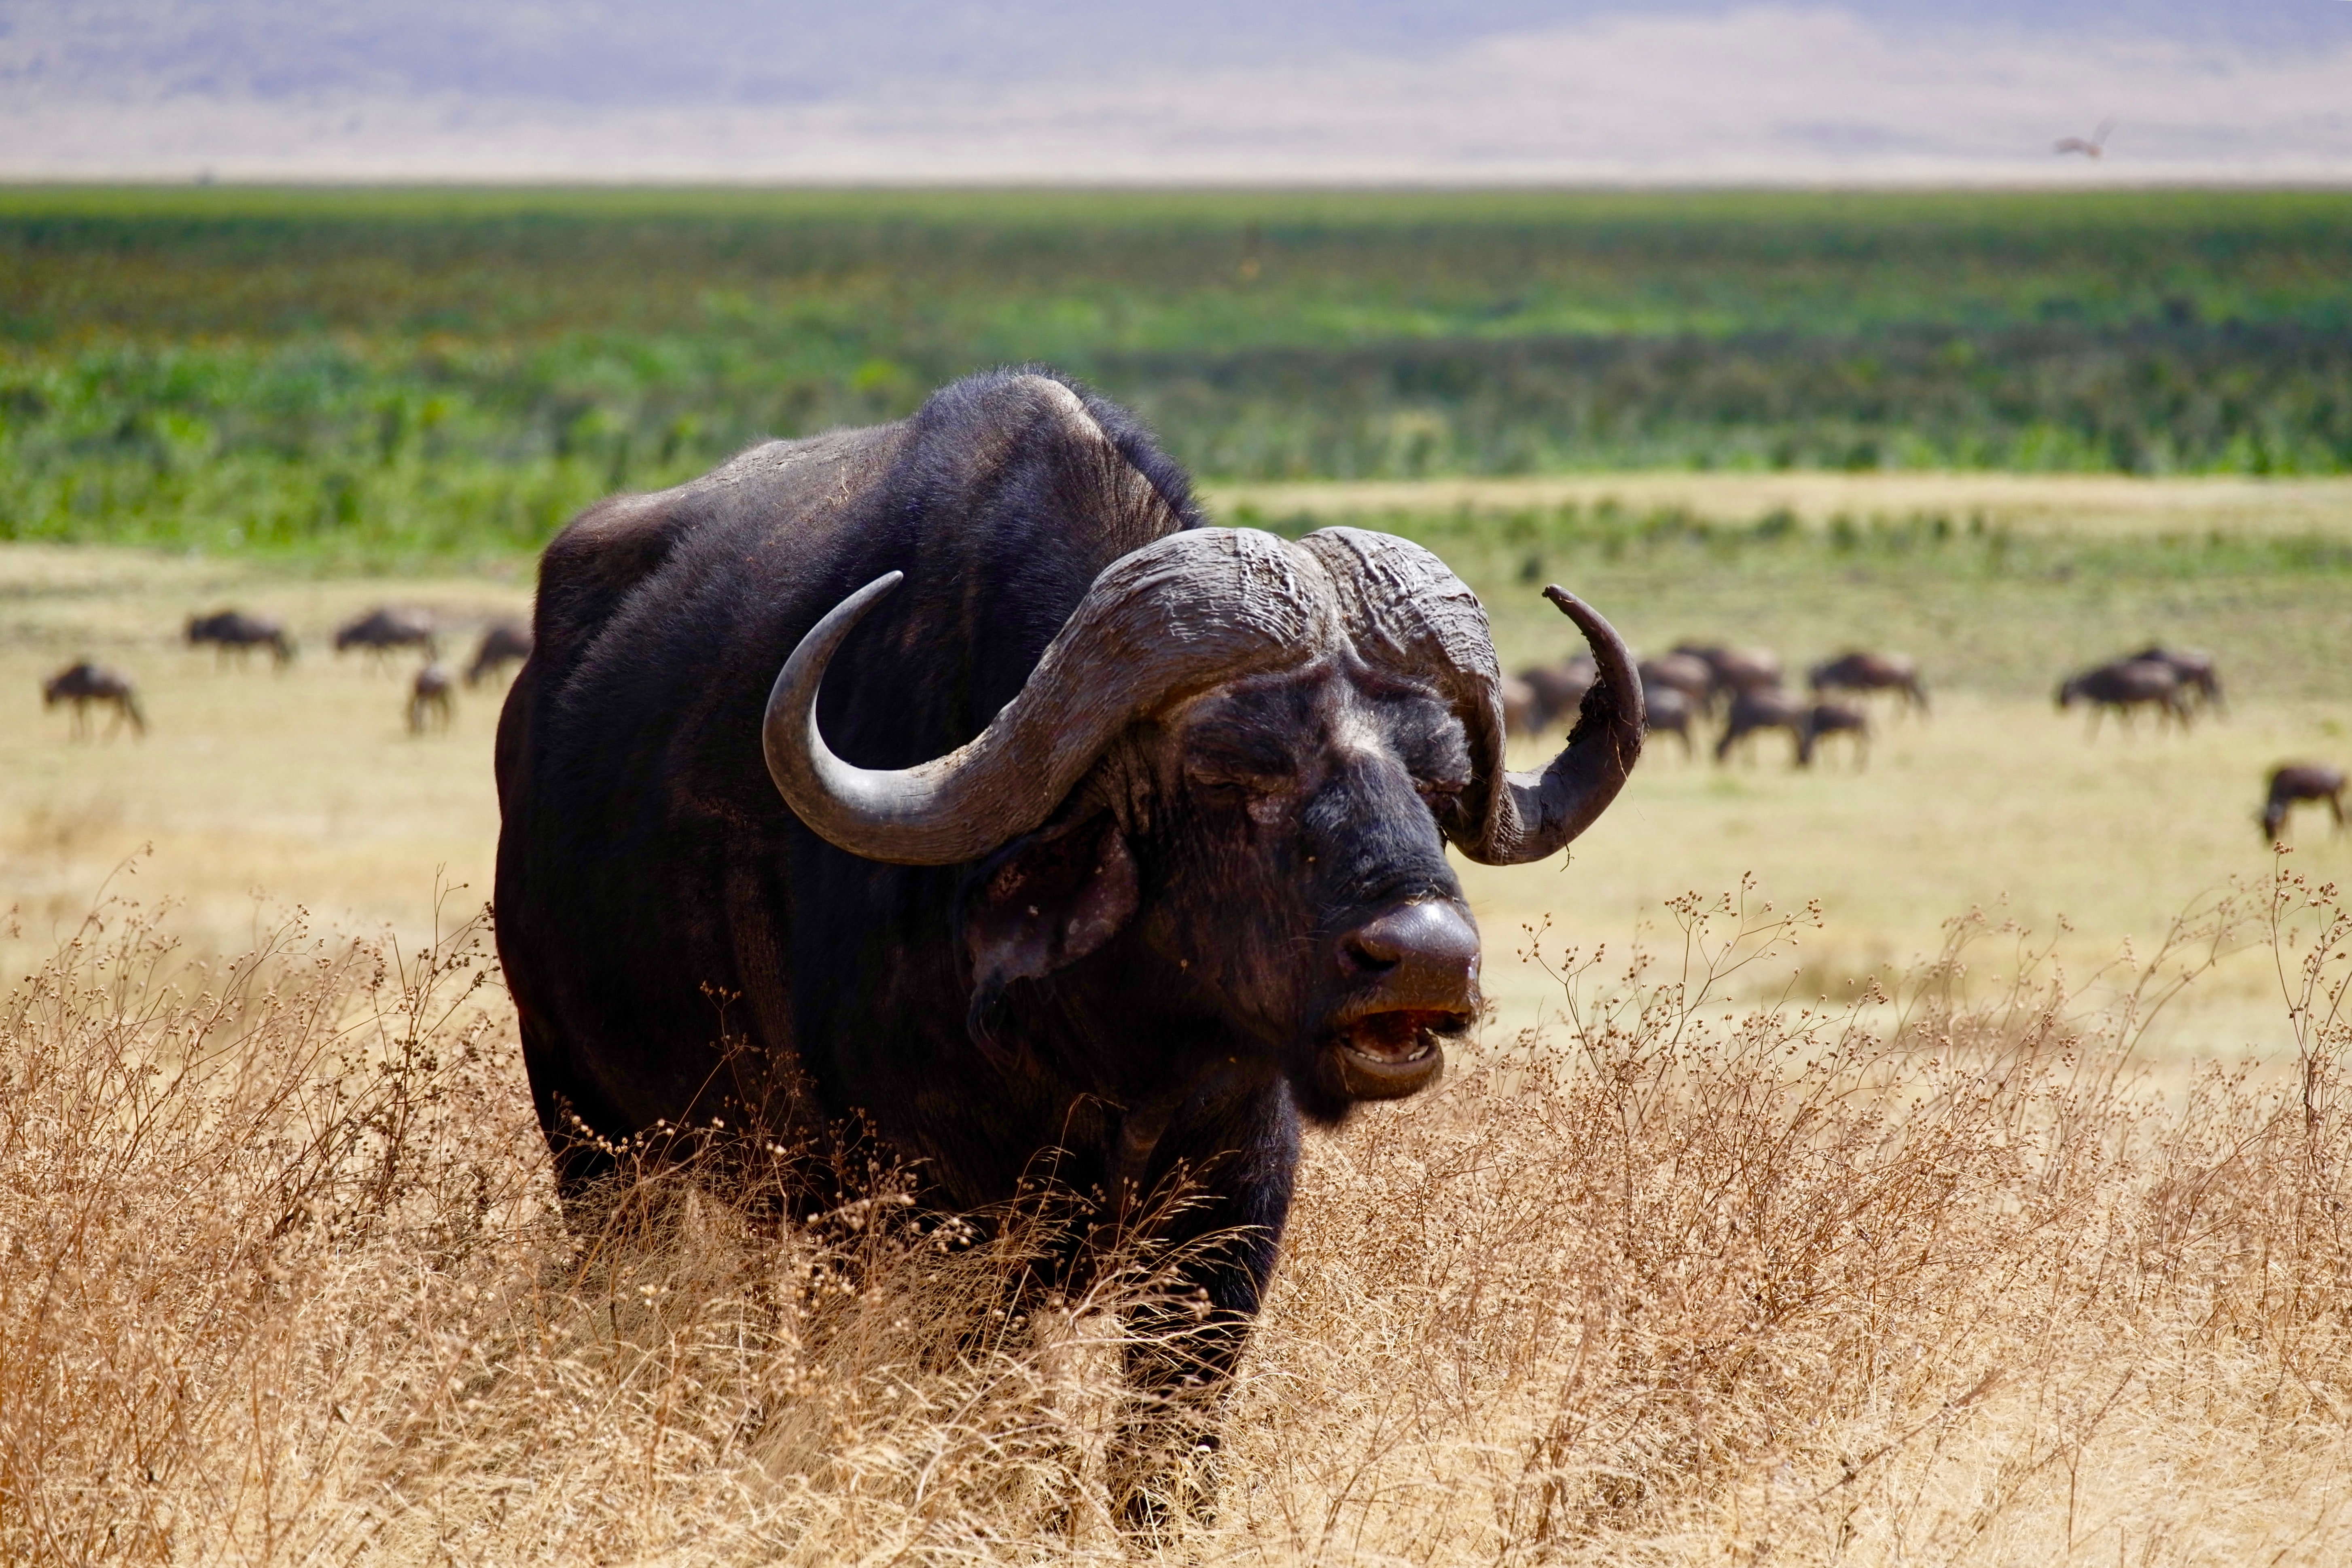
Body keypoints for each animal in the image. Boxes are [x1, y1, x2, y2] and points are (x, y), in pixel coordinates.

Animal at [42, 660, 145, 738]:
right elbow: (79, 715)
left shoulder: (82, 699)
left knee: (125, 714)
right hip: (119, 700)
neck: (72, 678)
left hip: (120, 700)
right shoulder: (81, 700)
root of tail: (130, 683)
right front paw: (80, 735)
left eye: (49, 691)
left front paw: (82, 735)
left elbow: (81, 715)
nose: (47, 705)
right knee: (128, 714)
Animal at [186, 608, 294, 667]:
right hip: (271, 644)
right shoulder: (233, 646)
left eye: (194, 629)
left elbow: (232, 660)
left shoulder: (236, 645)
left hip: (274, 644)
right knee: (279, 656)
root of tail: (282, 625)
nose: (188, 641)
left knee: (280, 655)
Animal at [493, 371, 1643, 1516]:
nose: (1428, 958)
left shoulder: (1231, 1218)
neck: (1112, 1045)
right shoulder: (925, 1223)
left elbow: (1165, 1445)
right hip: (593, 1131)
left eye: (1440, 781)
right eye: (1231, 772)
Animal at [2263, 762, 2347, 844]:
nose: (2268, 839)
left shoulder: (2289, 803)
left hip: (2334, 799)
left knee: (2340, 817)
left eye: (2274, 827)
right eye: (2265, 826)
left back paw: (2335, 839)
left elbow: (2288, 821)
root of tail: (2342, 776)